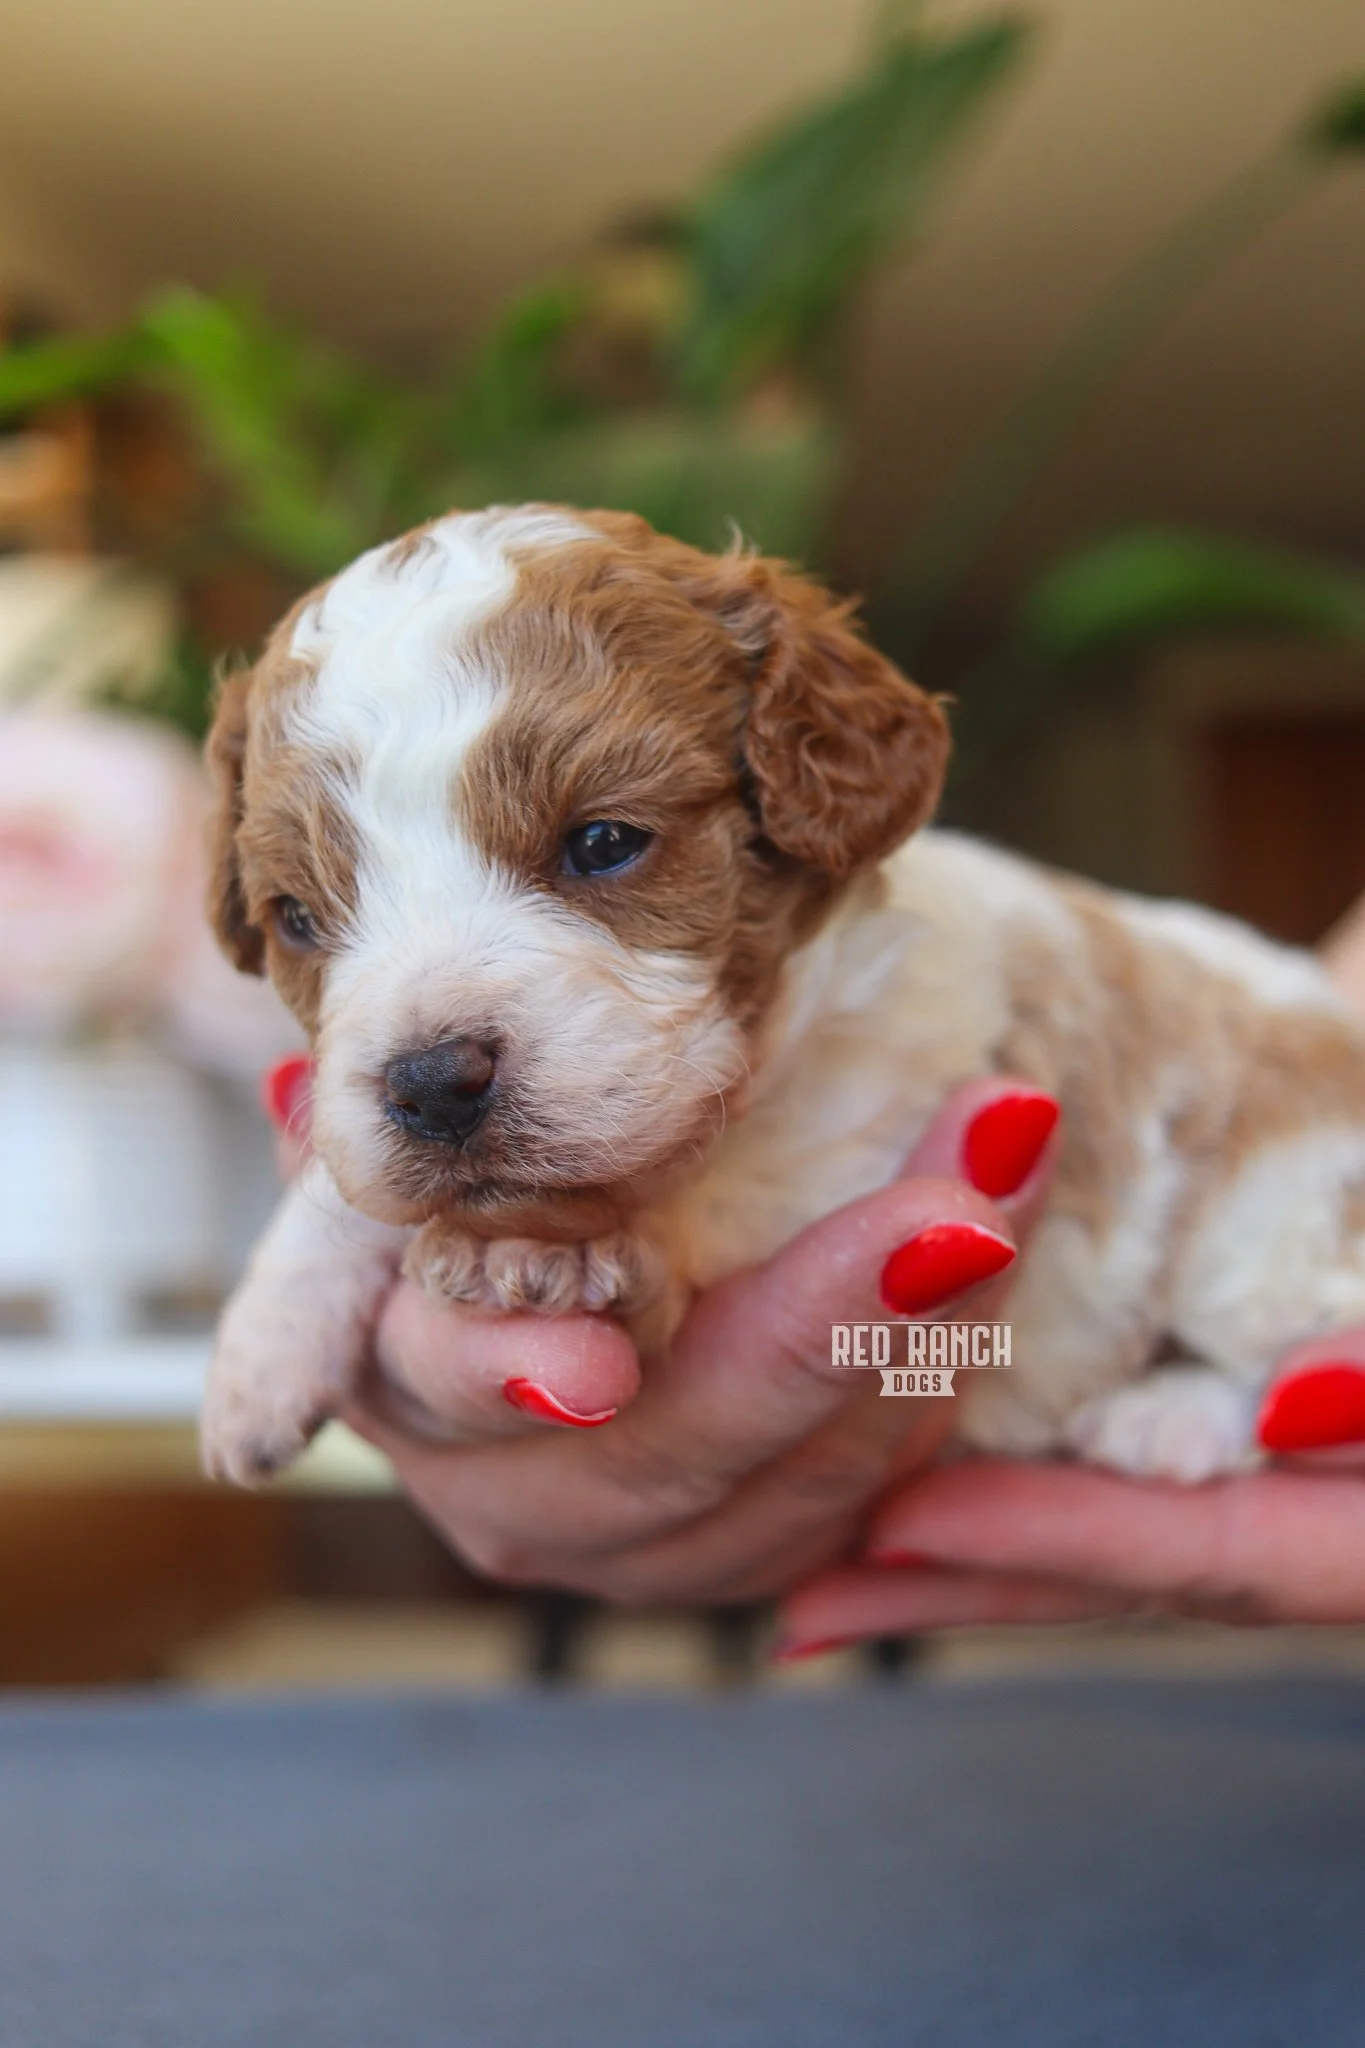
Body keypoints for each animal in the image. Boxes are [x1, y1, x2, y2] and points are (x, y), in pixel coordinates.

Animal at [200, 504, 1365, 1486]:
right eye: (297, 917)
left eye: (603, 842)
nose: (435, 1082)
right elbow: (343, 1195)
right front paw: (265, 1343)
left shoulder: (872, 1133)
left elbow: (723, 1200)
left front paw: (549, 1245)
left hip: (1271, 1215)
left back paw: (1174, 1417)